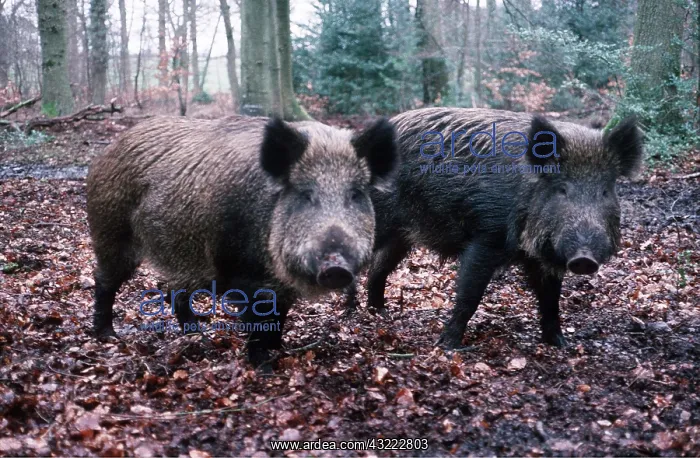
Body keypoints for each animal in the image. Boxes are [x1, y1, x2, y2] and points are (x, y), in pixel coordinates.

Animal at [86, 115, 398, 367]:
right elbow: (257, 322)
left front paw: (279, 350)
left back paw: (197, 335)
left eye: (355, 193)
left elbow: (278, 318)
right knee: (104, 280)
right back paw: (108, 336)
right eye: (305, 194)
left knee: (173, 291)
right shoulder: (241, 273)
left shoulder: (279, 286)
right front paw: (264, 367)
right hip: (111, 233)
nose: (336, 267)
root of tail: (106, 152)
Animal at [345, 108, 642, 349]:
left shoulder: (541, 258)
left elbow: (550, 301)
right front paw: (448, 346)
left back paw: (379, 313)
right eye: (562, 188)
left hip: (403, 234)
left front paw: (560, 345)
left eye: (605, 191)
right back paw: (350, 314)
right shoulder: (486, 237)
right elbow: (470, 294)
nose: (584, 259)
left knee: (379, 268)